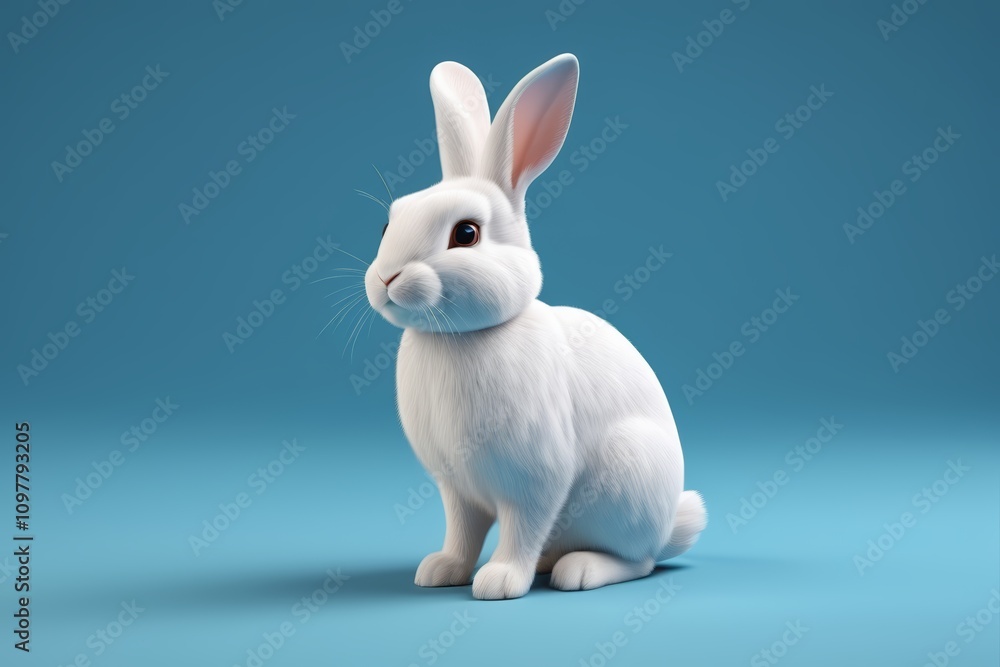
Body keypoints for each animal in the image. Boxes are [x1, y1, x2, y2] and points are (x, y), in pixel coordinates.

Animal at [364, 53, 706, 600]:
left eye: (466, 233)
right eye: (386, 225)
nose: (385, 279)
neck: (459, 337)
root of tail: (669, 523)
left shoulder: (536, 481)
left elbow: (520, 529)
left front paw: (500, 580)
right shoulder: (457, 489)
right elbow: (461, 533)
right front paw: (441, 570)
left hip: (624, 484)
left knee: (639, 561)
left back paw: (579, 569)